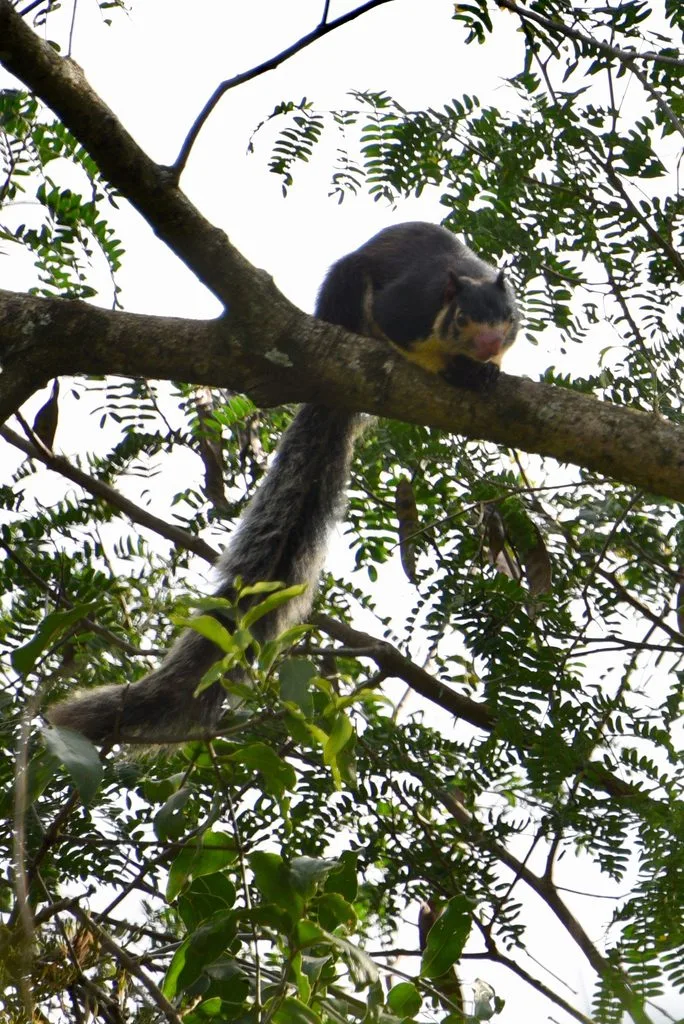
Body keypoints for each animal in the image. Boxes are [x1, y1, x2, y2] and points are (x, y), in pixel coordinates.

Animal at [47, 222, 519, 744]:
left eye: (507, 318)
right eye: (462, 318)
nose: (487, 345)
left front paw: (491, 369)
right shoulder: (408, 307)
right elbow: (401, 334)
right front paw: (452, 367)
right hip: (343, 295)